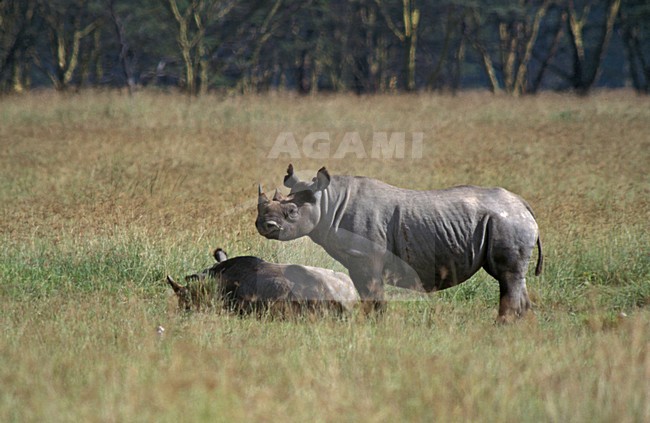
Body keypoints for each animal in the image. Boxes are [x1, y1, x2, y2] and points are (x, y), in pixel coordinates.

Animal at [256, 164, 543, 321]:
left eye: (292, 212)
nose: (264, 226)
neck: (328, 200)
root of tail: (524, 205)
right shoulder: (358, 261)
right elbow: (368, 295)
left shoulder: (365, 258)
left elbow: (373, 295)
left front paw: (374, 325)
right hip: (507, 221)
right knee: (514, 278)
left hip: (507, 221)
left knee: (507, 276)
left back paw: (502, 328)